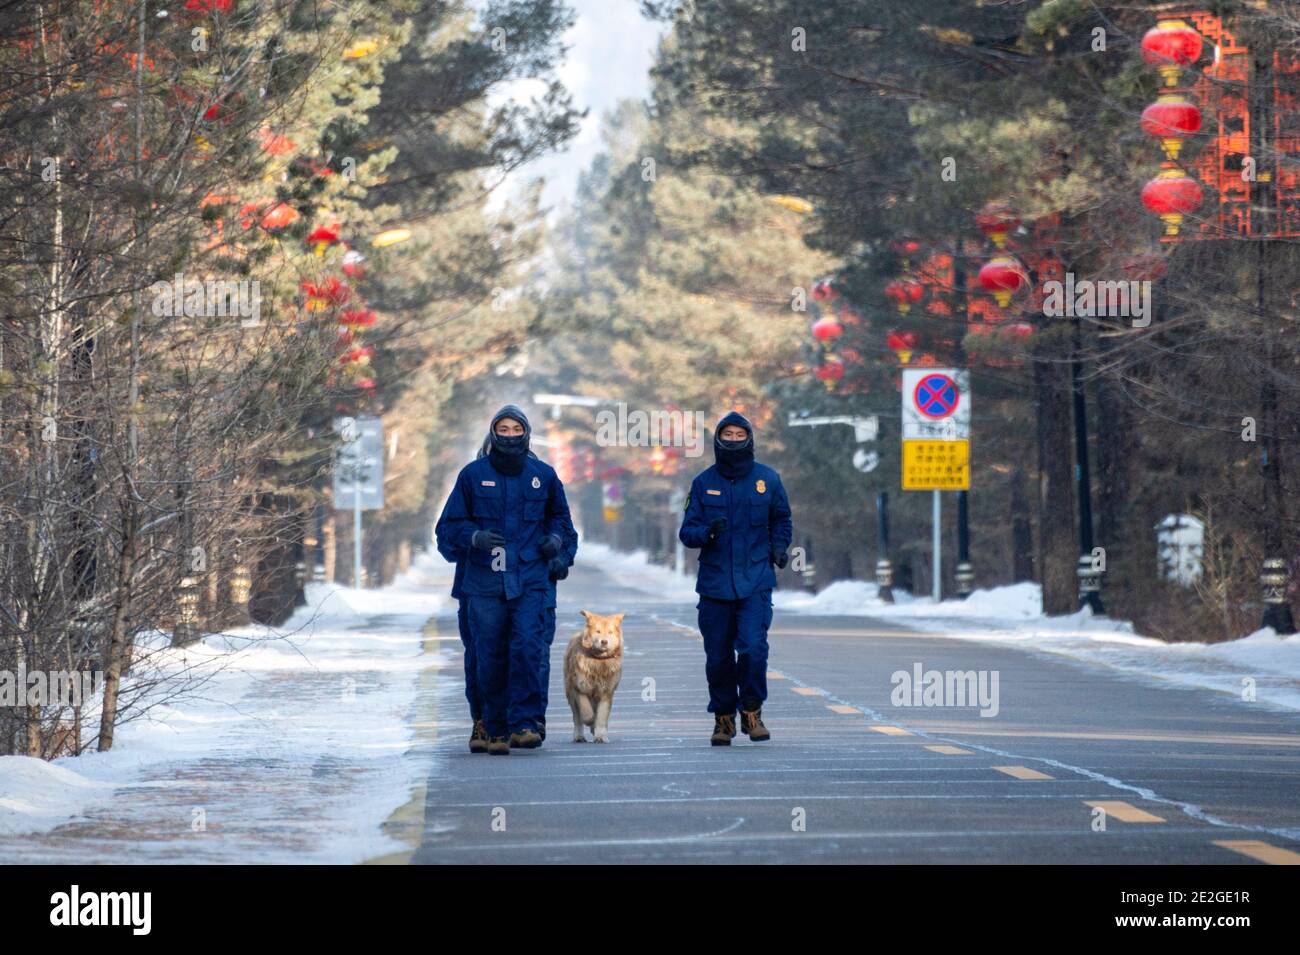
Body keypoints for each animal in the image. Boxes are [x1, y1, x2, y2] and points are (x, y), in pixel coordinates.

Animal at [564, 613, 624, 748]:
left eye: (610, 632)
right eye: (598, 631)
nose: (604, 641)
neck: (599, 660)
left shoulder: (606, 693)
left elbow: (601, 716)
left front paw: (600, 736)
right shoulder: (579, 688)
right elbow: (586, 712)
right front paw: (591, 722)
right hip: (570, 693)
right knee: (577, 717)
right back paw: (579, 736)